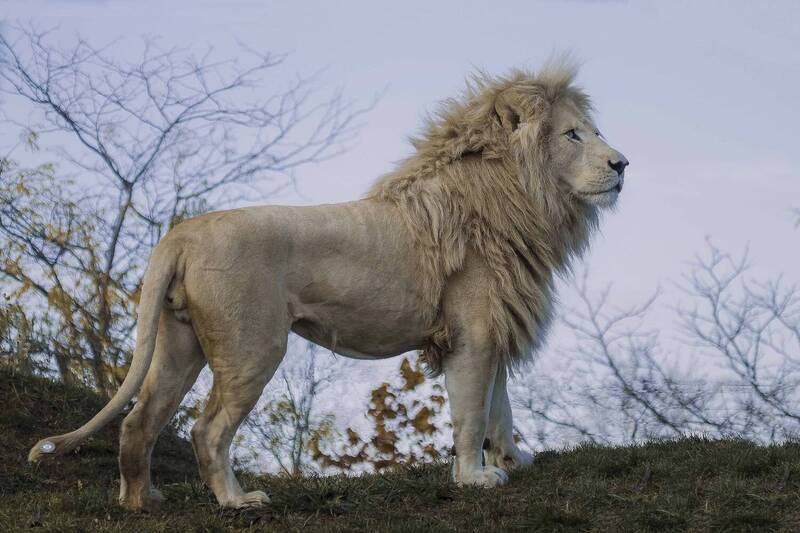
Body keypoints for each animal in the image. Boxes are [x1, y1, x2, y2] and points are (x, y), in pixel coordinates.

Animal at [28, 61, 628, 510]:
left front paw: (513, 461)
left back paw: (142, 502)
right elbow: (472, 411)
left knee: (140, 421)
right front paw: (474, 479)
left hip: (180, 342)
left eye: (596, 131)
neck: (522, 202)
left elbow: (501, 407)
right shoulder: (471, 333)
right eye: (573, 134)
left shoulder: (498, 322)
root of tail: (181, 234)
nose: (623, 164)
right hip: (253, 346)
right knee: (207, 429)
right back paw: (237, 501)